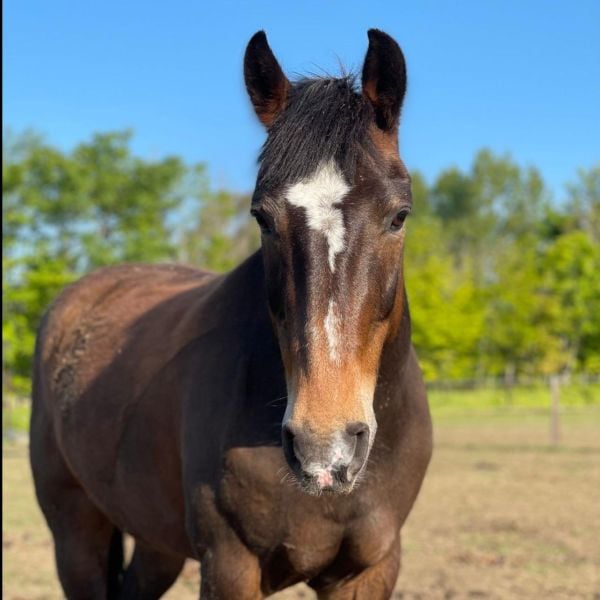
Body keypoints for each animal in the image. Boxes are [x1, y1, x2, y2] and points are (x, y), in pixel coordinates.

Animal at [30, 29, 432, 599]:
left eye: (399, 215)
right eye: (262, 218)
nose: (323, 447)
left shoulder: (370, 569)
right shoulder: (228, 565)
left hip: (155, 540)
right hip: (75, 532)